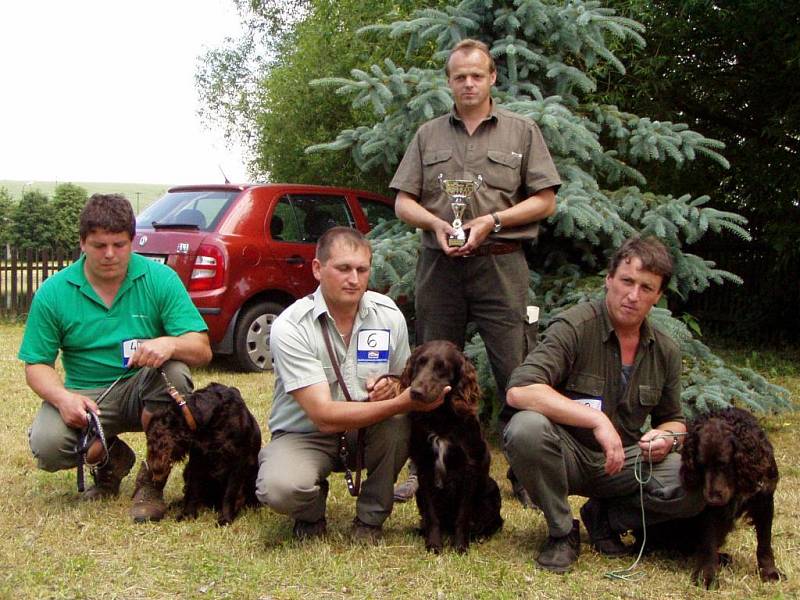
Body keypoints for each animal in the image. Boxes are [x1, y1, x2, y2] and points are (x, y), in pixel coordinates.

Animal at [141, 384, 260, 524]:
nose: (152, 468)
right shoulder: (197, 459)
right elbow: (193, 489)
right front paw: (187, 514)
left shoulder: (237, 462)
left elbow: (230, 493)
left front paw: (225, 518)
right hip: (187, 470)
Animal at [404, 340, 504, 556]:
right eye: (419, 363)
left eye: (442, 367)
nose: (415, 392)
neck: (442, 418)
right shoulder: (424, 467)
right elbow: (432, 515)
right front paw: (434, 544)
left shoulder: (470, 468)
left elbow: (463, 515)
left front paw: (460, 546)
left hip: (491, 489)